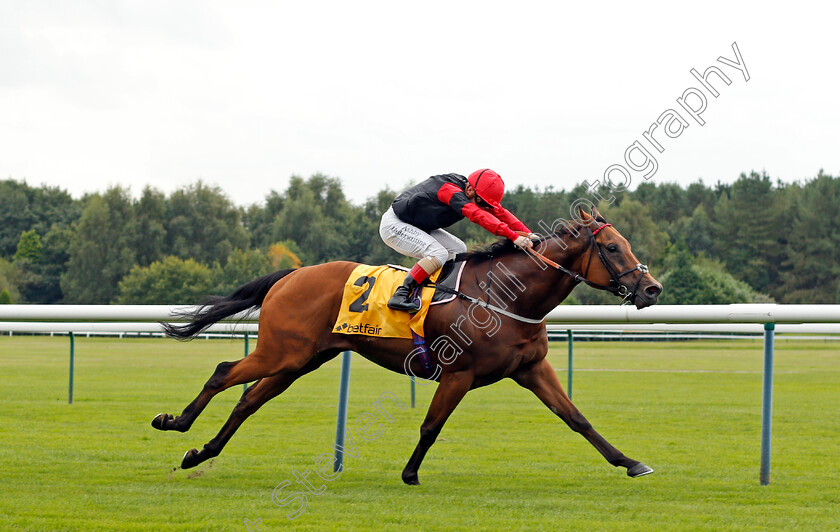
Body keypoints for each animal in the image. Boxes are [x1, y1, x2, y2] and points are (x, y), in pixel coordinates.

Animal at [151, 208, 664, 482]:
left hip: (300, 361)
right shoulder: (458, 373)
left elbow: (576, 417)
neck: (504, 295)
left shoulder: (531, 369)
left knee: (248, 401)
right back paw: (174, 422)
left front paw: (630, 462)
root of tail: (291, 274)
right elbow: (431, 426)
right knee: (223, 372)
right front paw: (410, 473)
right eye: (613, 248)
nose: (652, 289)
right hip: (282, 352)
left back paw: (200, 452)